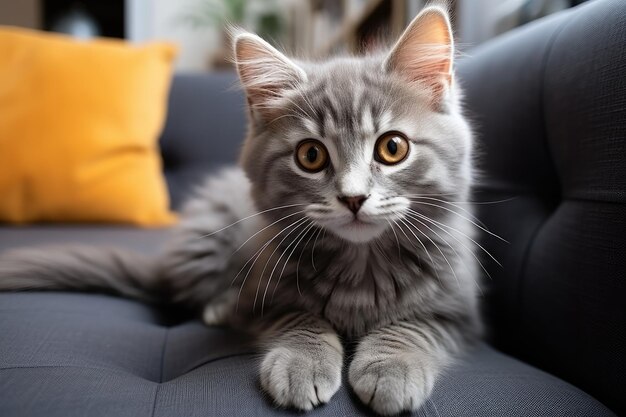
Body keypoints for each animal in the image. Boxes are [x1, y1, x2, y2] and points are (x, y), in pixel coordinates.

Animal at [0, 5, 482, 412]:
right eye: (311, 156)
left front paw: (391, 368)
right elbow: (297, 317)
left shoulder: (458, 307)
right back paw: (221, 307)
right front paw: (302, 363)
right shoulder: (266, 289)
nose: (353, 198)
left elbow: (414, 325)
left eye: (392, 148)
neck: (361, 266)